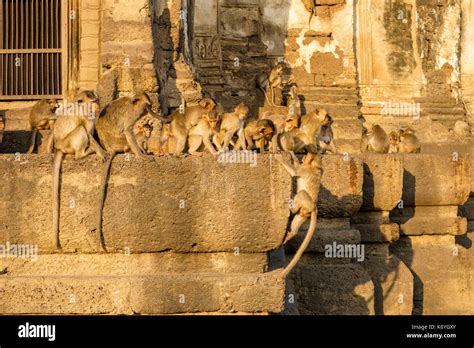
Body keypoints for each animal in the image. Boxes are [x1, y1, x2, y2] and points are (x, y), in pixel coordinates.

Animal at [51, 90, 106, 250]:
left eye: (96, 100)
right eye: (92, 102)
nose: (98, 105)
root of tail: (58, 147)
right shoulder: (85, 116)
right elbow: (88, 134)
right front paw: (101, 152)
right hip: (68, 143)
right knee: (80, 130)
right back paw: (83, 154)